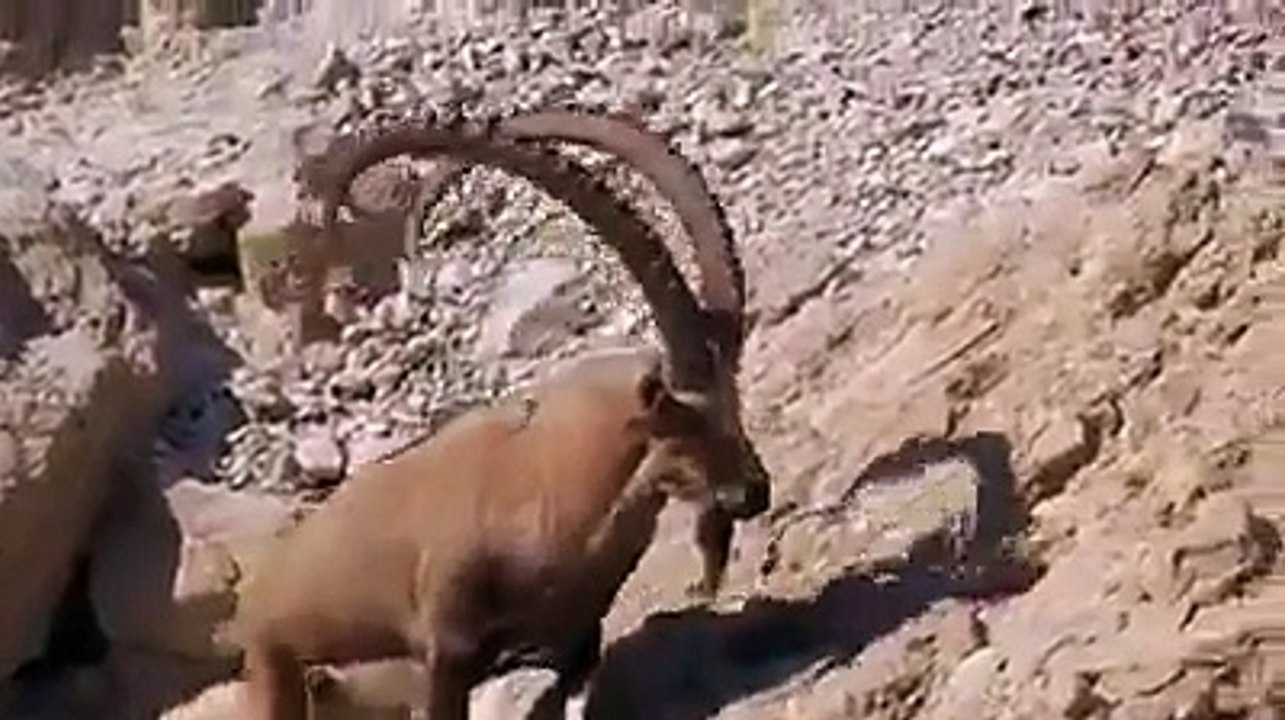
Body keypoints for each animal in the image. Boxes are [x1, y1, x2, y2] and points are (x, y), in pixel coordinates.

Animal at [232, 118, 772, 720]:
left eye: (733, 401)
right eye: (679, 420)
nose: (755, 492)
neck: (555, 497)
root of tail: (254, 599)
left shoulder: (577, 639)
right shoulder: (446, 653)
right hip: (276, 673)